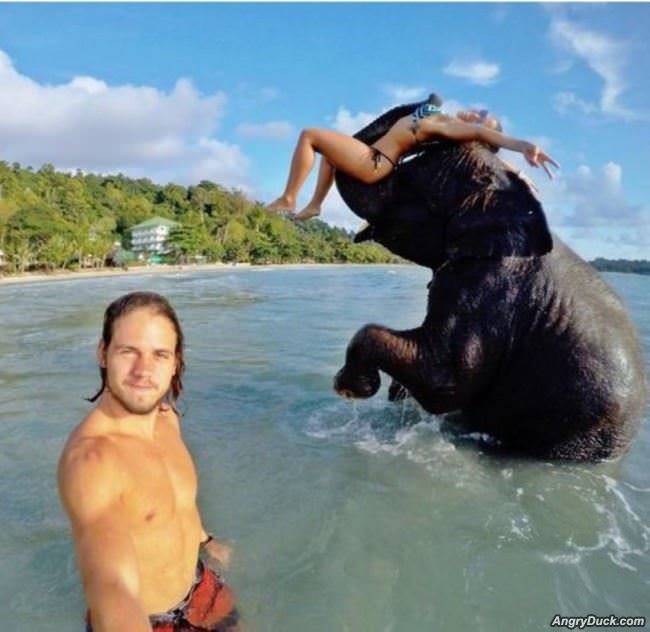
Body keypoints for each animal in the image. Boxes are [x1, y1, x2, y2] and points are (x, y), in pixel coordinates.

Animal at [333, 99, 647, 461]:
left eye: (408, 187)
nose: (433, 102)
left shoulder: (489, 289)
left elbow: (445, 379)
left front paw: (352, 389)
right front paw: (394, 392)